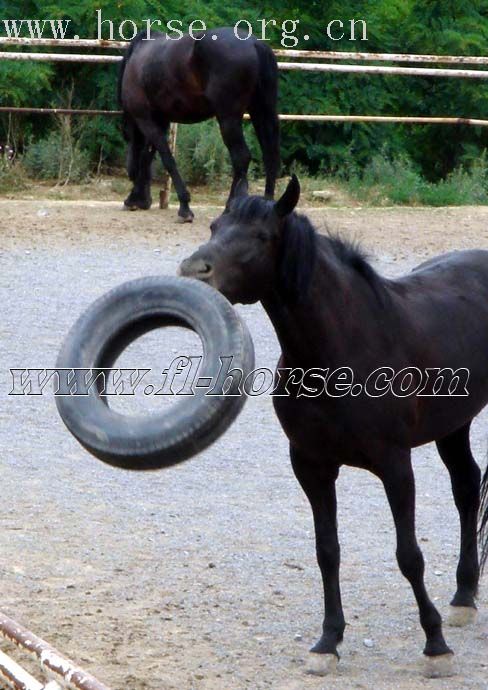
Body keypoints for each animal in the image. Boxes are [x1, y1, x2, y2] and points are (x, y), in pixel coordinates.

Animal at [117, 26, 280, 219]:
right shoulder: (160, 121)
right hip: (260, 111)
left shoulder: (145, 120)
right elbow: (147, 157)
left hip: (229, 118)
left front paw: (183, 206)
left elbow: (166, 159)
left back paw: (229, 207)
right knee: (269, 156)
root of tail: (254, 44)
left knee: (241, 157)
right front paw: (138, 199)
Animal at [179, 175, 488, 676]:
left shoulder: (395, 466)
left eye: (261, 236)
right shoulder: (312, 467)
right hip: (453, 425)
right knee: (466, 485)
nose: (193, 270)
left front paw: (435, 643)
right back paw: (464, 596)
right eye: (214, 226)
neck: (341, 347)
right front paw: (329, 640)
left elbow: (409, 556)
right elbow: (327, 552)